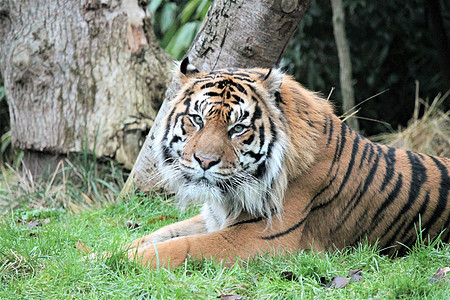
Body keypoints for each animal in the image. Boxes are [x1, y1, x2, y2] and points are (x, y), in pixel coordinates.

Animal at [124, 57, 450, 268]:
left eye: (237, 128)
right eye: (197, 119)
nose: (205, 161)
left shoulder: (262, 236)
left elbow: (181, 246)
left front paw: (122, 260)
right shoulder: (212, 218)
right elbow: (159, 234)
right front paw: (116, 249)